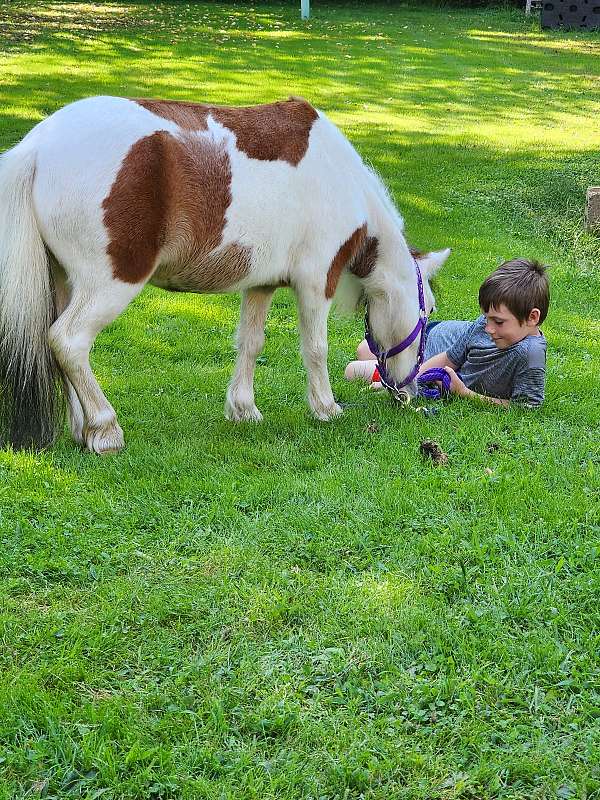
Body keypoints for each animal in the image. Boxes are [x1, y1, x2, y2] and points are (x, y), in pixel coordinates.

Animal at [0, 95, 450, 453]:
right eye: (427, 313)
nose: (409, 391)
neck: (339, 179)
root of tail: (38, 146)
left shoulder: (261, 285)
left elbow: (250, 343)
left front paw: (244, 409)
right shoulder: (315, 281)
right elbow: (315, 348)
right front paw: (326, 407)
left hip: (64, 282)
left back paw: (83, 430)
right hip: (109, 284)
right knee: (69, 341)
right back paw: (105, 429)